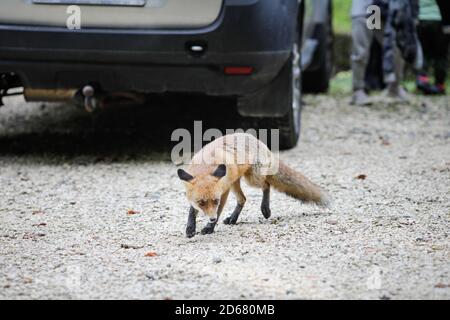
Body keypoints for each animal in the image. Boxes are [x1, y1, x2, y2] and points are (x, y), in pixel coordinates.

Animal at [178, 132, 328, 238]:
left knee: (266, 184)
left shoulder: (223, 191)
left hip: (252, 179)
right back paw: (233, 219)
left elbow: (219, 210)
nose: (212, 218)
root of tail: (258, 140)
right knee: (243, 199)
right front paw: (190, 228)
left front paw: (210, 227)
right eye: (201, 202)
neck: (205, 166)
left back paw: (265, 209)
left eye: (215, 201)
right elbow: (192, 210)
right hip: (234, 183)